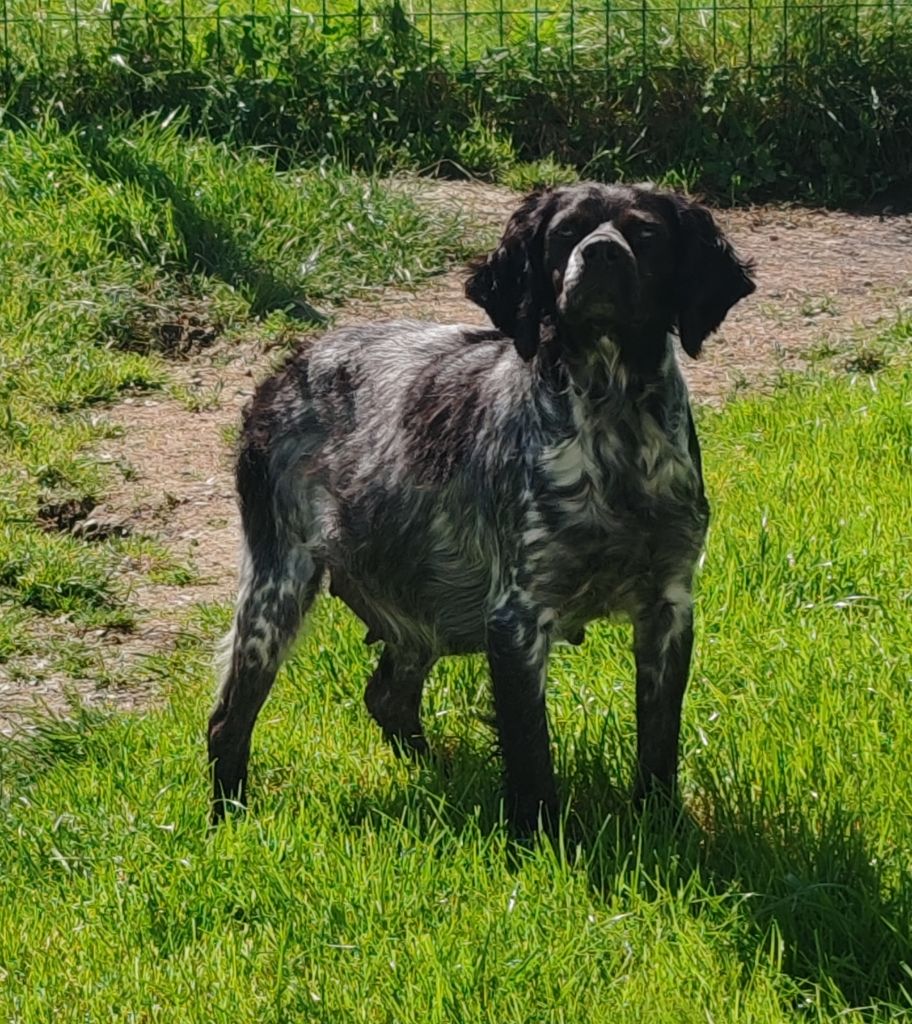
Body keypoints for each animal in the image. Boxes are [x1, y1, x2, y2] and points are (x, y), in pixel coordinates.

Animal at [208, 180, 757, 827]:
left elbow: (658, 744)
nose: (600, 254)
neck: (613, 424)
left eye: (644, 233)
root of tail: (286, 369)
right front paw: (538, 834)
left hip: (419, 606)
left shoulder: (668, 606)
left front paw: (661, 822)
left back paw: (442, 775)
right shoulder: (517, 617)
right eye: (566, 233)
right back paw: (226, 817)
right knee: (228, 721)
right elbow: (531, 757)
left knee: (388, 697)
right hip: (278, 588)